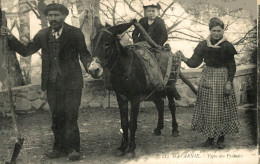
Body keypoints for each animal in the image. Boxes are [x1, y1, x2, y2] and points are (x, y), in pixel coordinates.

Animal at [87, 19, 179, 157]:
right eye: (93, 42)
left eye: (107, 43)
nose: (93, 70)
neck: (125, 69)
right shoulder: (121, 98)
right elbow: (124, 123)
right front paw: (122, 147)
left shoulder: (135, 99)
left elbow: (133, 124)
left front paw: (131, 148)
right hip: (155, 91)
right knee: (160, 105)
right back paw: (158, 128)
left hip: (169, 87)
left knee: (172, 106)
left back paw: (175, 129)